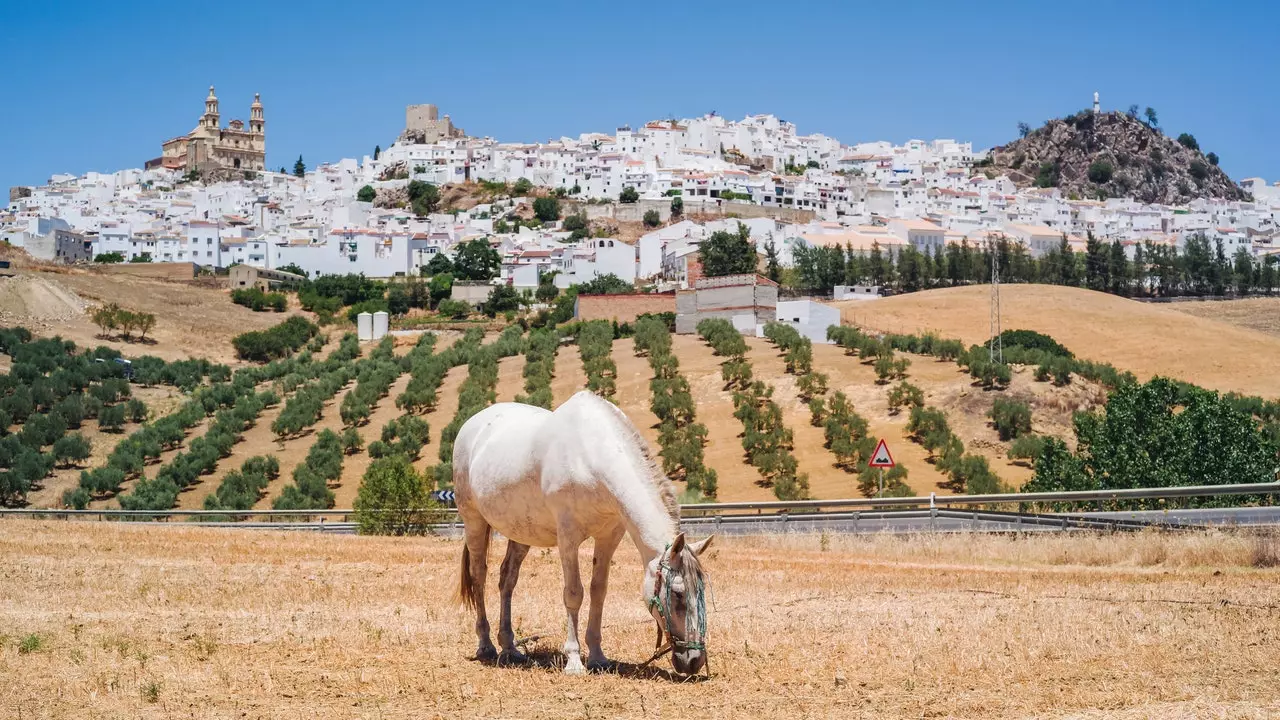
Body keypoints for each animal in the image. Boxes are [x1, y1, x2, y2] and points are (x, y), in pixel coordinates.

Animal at [453, 386, 716, 671]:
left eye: (702, 591)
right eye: (678, 594)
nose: (694, 661)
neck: (591, 457)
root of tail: (471, 424)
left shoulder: (609, 536)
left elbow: (598, 591)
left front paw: (598, 656)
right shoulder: (568, 538)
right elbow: (574, 593)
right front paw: (574, 660)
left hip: (521, 532)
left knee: (507, 579)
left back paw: (510, 647)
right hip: (474, 521)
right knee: (479, 576)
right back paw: (486, 645)